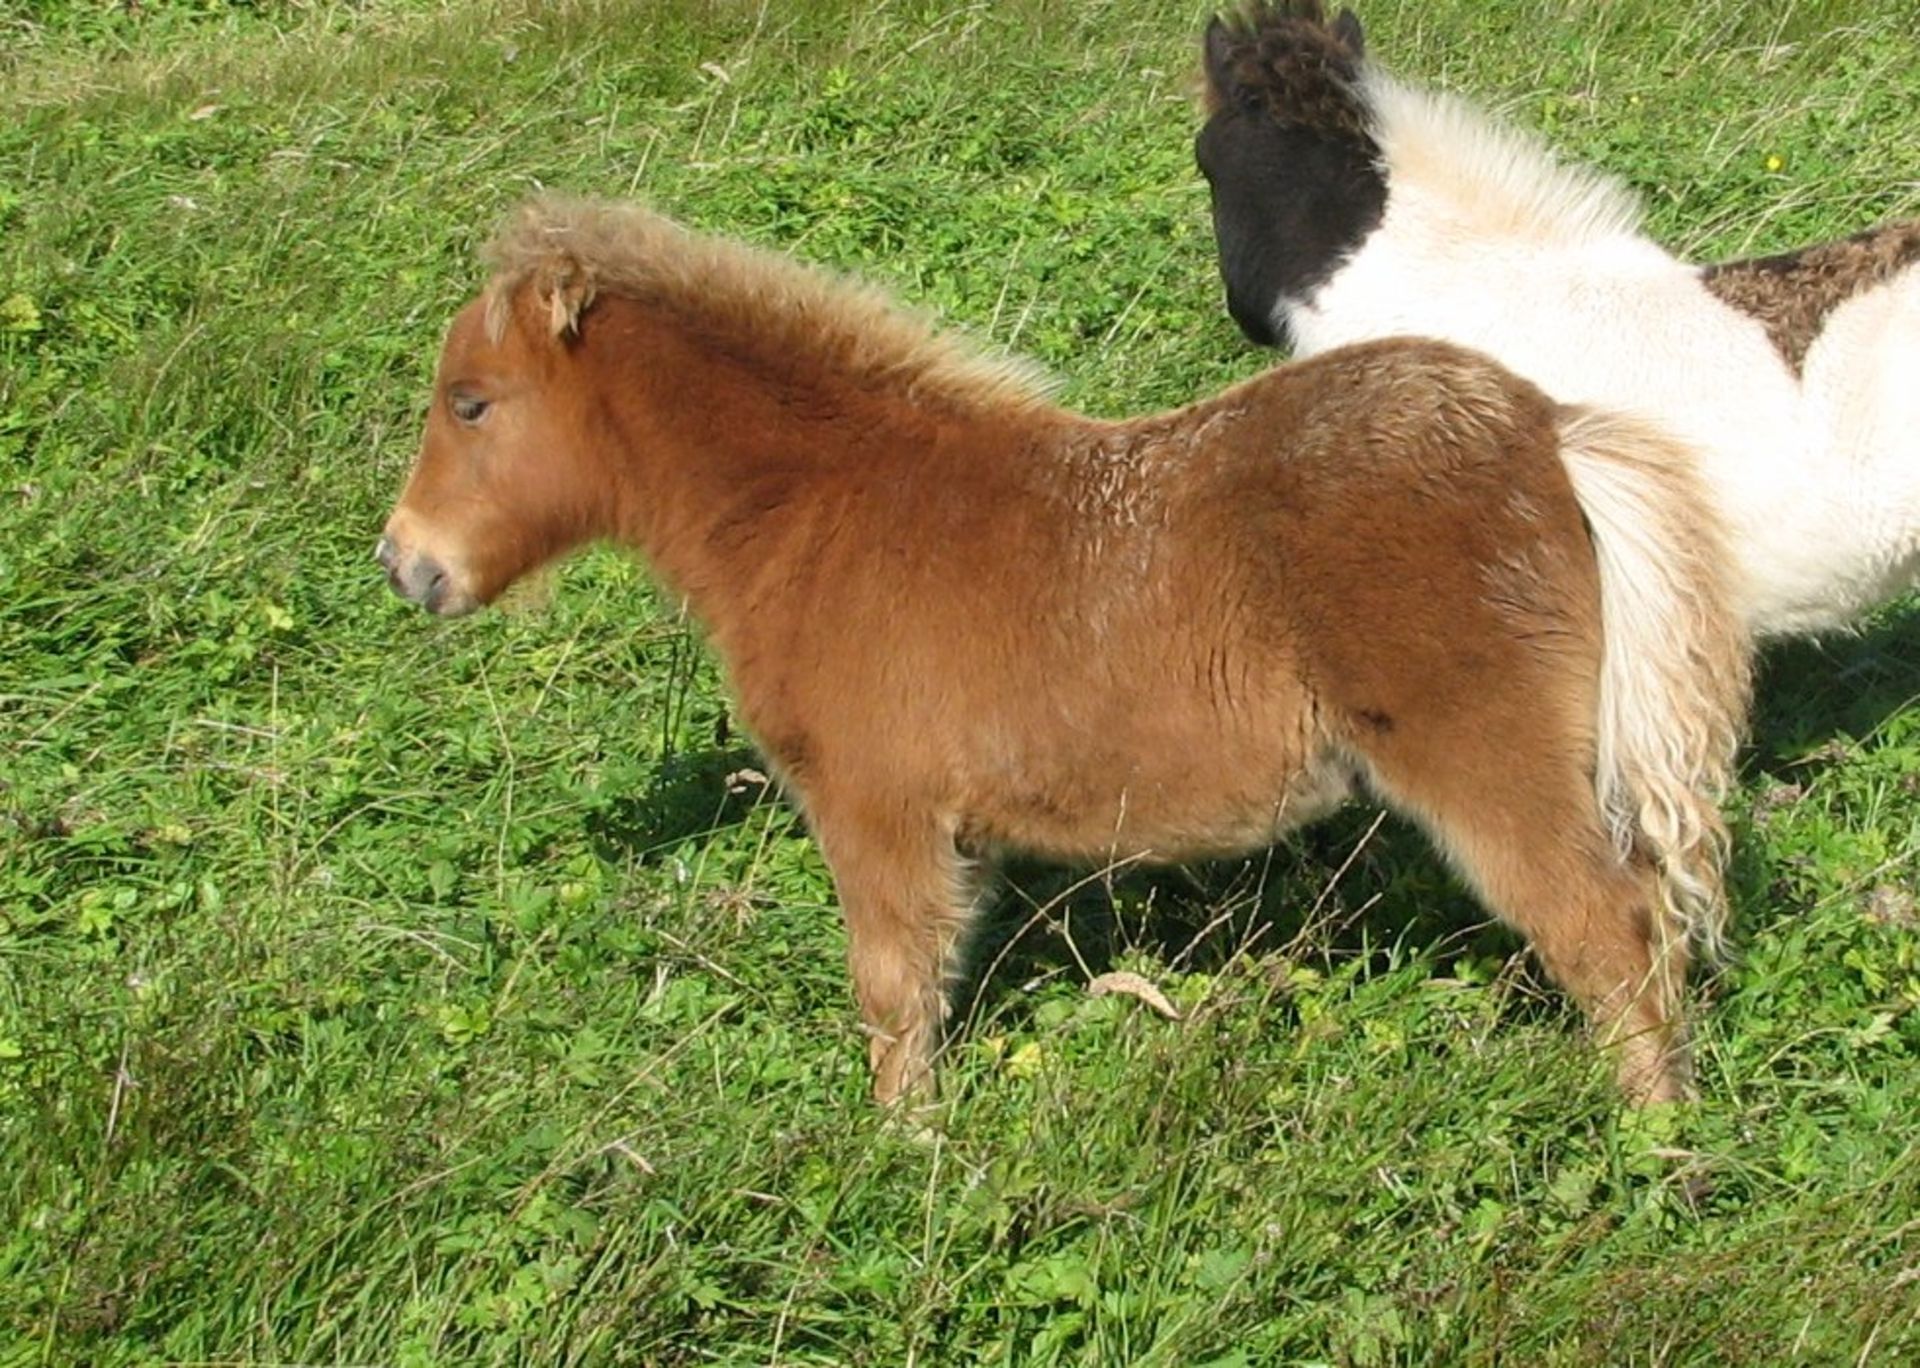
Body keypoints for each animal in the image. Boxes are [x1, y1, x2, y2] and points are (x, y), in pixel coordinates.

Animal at [378, 197, 1758, 1106]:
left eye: (471, 405)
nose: (406, 564)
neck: (817, 507)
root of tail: (1547, 432)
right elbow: (936, 971)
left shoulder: (872, 808)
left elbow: (890, 991)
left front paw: (902, 1158)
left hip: (1492, 766)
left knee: (1609, 934)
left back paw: (1654, 1158)